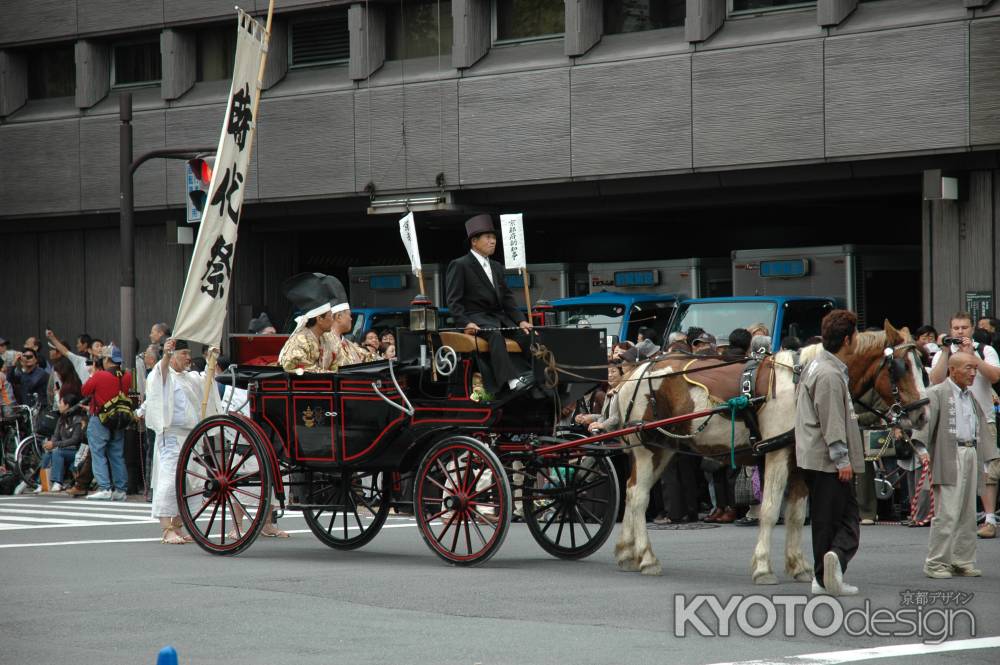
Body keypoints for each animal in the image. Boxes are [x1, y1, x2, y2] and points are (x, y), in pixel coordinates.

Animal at [612, 322, 924, 580]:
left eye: (922, 366)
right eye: (901, 368)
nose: (921, 414)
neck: (804, 381)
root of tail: (635, 373)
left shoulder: (799, 457)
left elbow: (796, 514)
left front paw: (798, 565)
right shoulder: (777, 453)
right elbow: (772, 509)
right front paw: (763, 566)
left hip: (665, 447)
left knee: (630, 490)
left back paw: (627, 552)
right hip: (648, 448)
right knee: (638, 496)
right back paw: (647, 558)